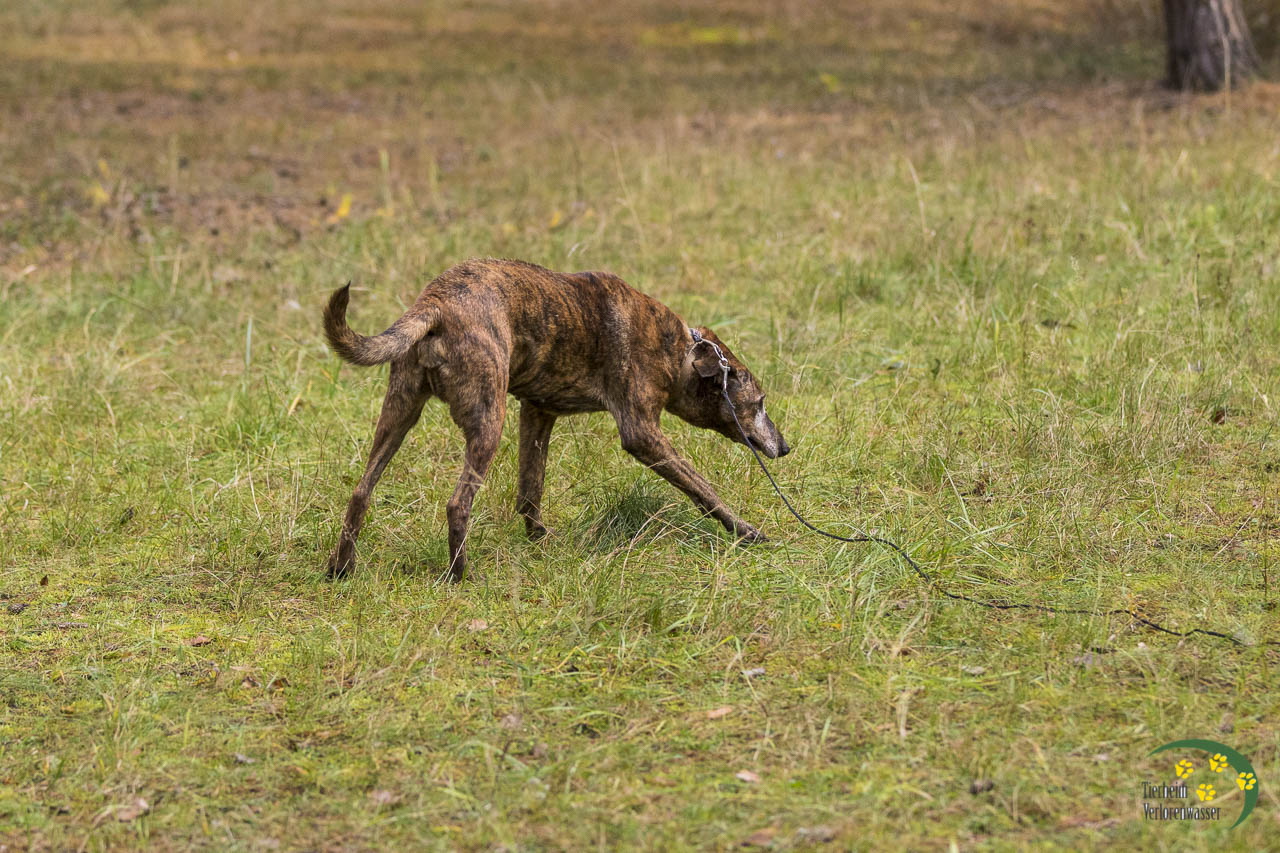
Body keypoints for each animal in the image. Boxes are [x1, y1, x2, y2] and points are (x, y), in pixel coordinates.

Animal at [323, 258, 789, 580]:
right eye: (760, 403)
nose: (785, 446)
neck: (680, 352)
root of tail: (435, 305)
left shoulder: (537, 413)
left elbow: (530, 490)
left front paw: (539, 542)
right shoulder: (642, 433)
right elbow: (703, 490)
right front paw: (746, 532)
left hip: (398, 415)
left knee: (360, 493)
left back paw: (340, 570)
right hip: (488, 423)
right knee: (458, 505)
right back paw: (460, 576)